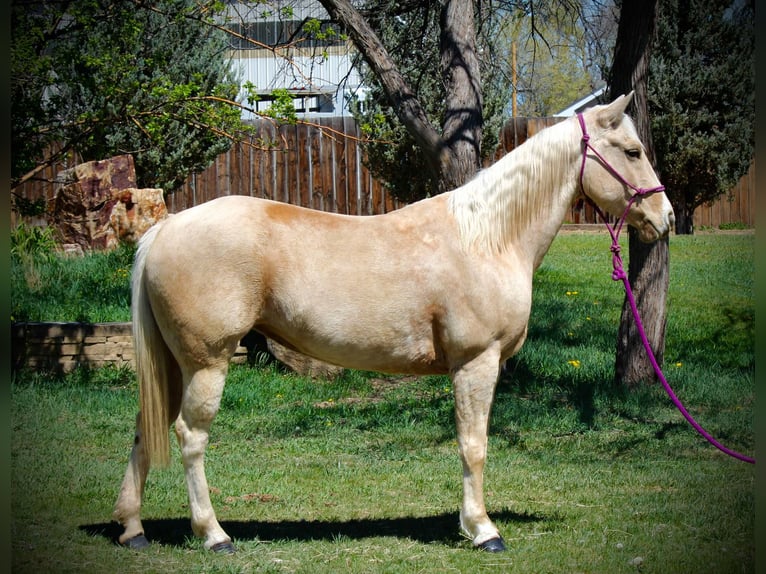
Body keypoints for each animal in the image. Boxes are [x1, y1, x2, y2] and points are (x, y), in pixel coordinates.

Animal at [113, 93, 674, 554]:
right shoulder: (476, 363)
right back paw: (214, 535)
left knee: (145, 426)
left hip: (172, 363)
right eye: (630, 151)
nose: (665, 217)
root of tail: (165, 229)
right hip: (206, 363)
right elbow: (474, 445)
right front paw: (483, 529)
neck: (487, 237)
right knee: (190, 435)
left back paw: (133, 528)